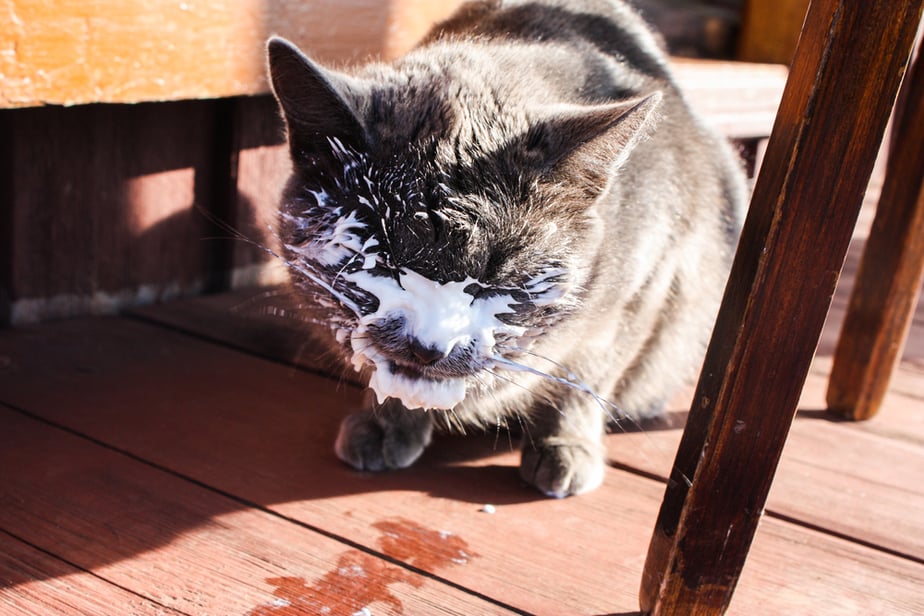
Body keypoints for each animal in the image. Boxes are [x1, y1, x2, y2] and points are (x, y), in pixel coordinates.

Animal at [264, 0, 748, 496]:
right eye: (380, 263)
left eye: (497, 278)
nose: (429, 346)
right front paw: (387, 421)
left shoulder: (645, 284)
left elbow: (584, 374)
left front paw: (565, 444)